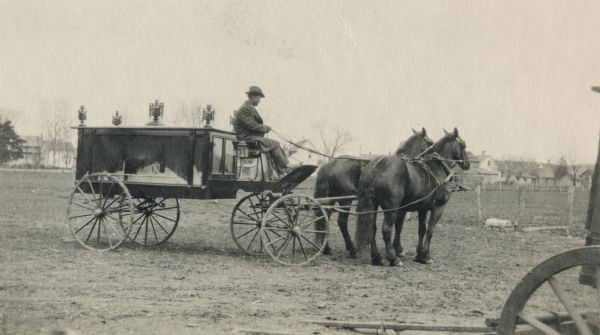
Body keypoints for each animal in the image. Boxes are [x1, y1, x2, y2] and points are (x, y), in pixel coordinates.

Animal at [312, 128, 434, 258]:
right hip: (345, 200)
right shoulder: (401, 207)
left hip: (330, 199)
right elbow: (399, 226)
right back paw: (351, 249)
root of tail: (329, 164)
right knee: (342, 222)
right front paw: (398, 249)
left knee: (325, 217)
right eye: (430, 143)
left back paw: (327, 248)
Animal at [354, 127, 472, 266]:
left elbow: (421, 230)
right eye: (463, 145)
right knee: (386, 229)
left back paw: (377, 258)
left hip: (373, 205)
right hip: (392, 208)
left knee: (372, 229)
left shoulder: (422, 208)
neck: (438, 168)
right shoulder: (438, 207)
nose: (468, 164)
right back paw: (393, 258)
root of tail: (375, 165)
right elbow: (430, 230)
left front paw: (419, 255)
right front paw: (425, 255)